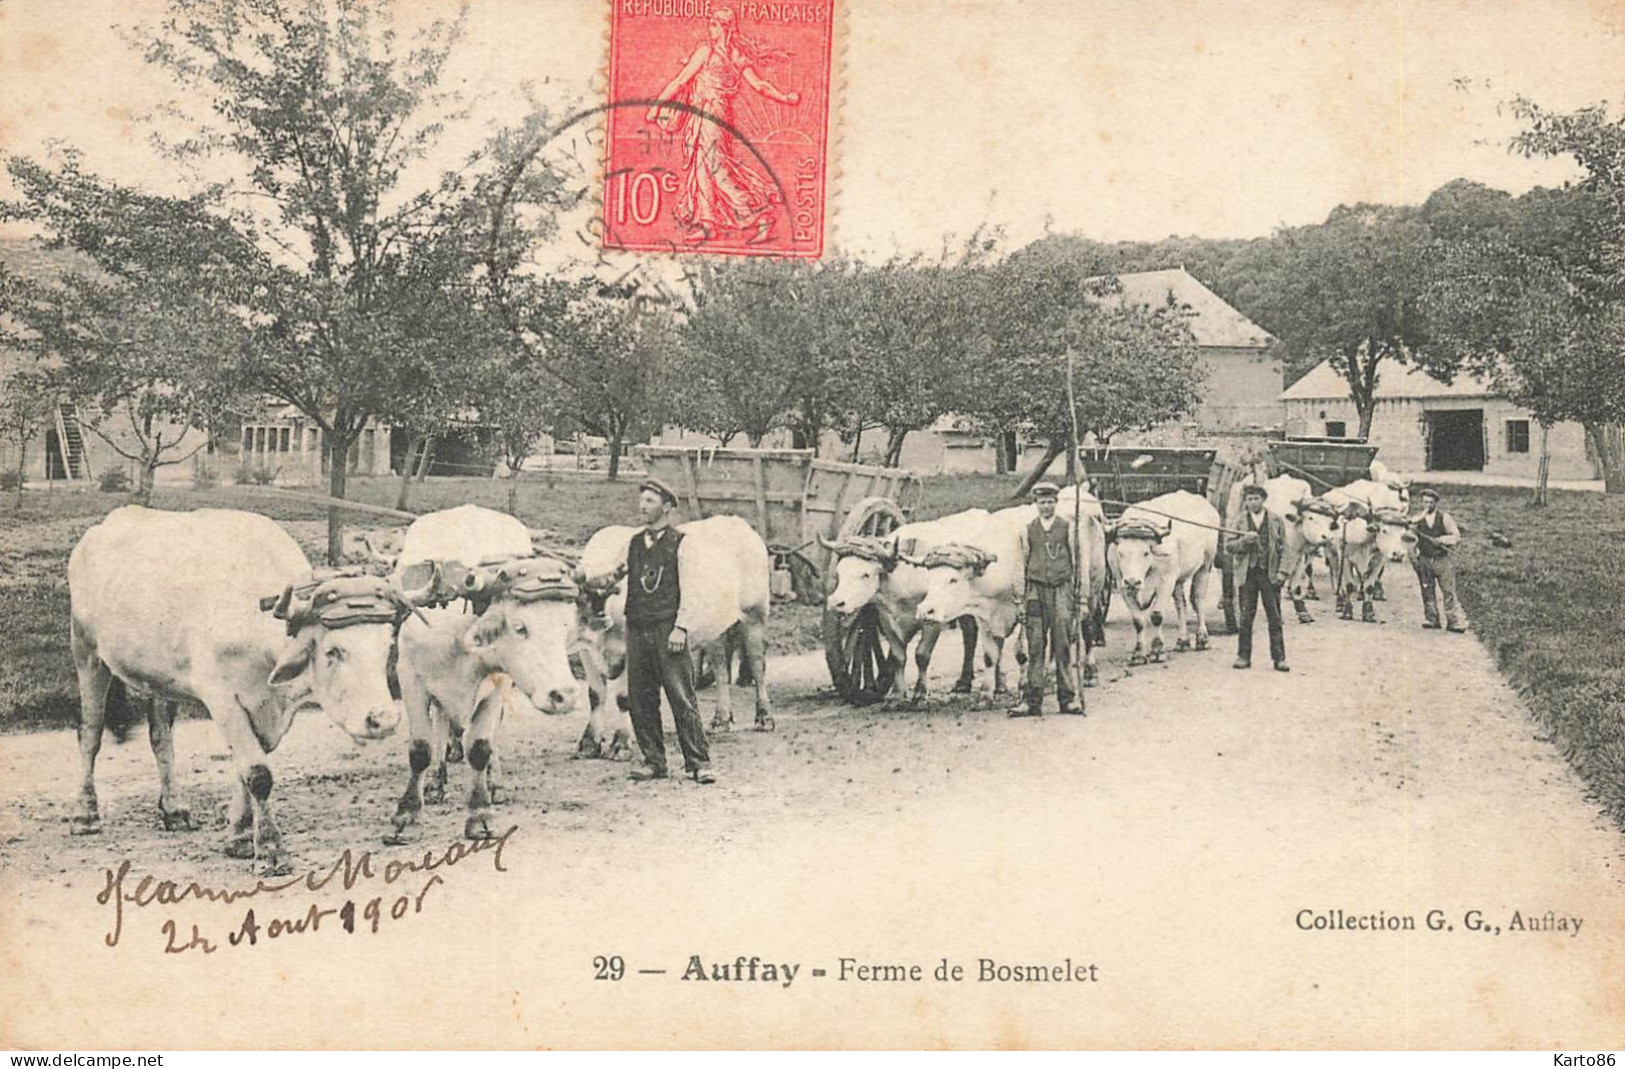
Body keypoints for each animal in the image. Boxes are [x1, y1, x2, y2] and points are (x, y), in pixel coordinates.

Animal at [71, 506, 406, 877]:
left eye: (389, 646)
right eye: (333, 651)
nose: (384, 719)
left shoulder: (269, 709)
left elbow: (245, 766)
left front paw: (241, 836)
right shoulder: (222, 699)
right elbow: (258, 773)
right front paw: (271, 850)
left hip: (158, 677)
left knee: (160, 736)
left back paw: (174, 809)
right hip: (86, 650)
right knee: (90, 733)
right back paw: (85, 814)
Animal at [385, 503, 578, 844]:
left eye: (565, 627)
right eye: (520, 628)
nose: (564, 696)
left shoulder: (497, 685)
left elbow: (479, 747)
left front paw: (480, 814)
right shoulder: (411, 678)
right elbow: (421, 748)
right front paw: (406, 816)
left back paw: (493, 782)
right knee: (441, 723)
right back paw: (435, 781)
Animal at [572, 513, 773, 757]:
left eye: (611, 594)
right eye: (578, 600)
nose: (590, 625)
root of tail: (740, 523)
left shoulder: (629, 649)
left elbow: (623, 698)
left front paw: (620, 743)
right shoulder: (587, 653)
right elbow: (596, 694)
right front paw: (588, 743)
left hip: (755, 612)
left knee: (757, 664)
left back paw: (764, 717)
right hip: (715, 627)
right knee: (721, 668)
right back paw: (721, 720)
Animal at [1105, 490, 1222, 656]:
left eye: (1146, 553)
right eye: (1120, 553)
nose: (1133, 581)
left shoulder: (1165, 581)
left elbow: (1156, 615)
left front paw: (1157, 650)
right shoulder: (1123, 585)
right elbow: (1138, 621)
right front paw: (1139, 653)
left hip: (1206, 564)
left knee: (1197, 600)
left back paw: (1202, 639)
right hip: (1178, 577)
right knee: (1181, 604)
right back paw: (1182, 641)